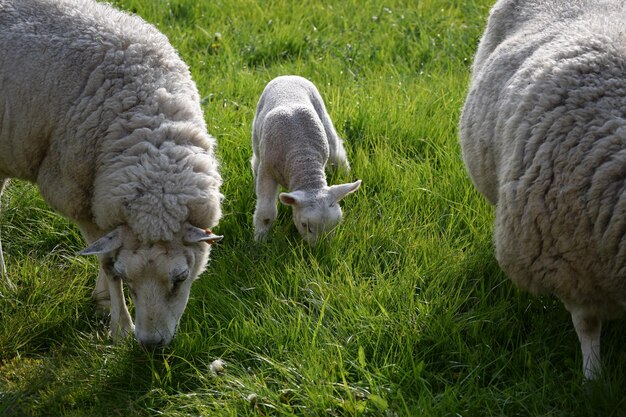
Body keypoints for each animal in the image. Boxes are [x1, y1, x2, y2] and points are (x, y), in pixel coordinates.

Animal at [0, 0, 223, 344]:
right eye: (125, 277)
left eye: (181, 277)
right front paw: (120, 325)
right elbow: (105, 259)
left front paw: (103, 301)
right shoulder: (73, 192)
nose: (151, 345)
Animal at [246, 76, 358, 242]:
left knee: (336, 151)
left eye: (335, 225)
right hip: (257, 135)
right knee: (256, 159)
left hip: (324, 118)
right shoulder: (267, 171)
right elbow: (266, 213)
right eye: (305, 225)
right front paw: (260, 240)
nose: (319, 248)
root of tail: (288, 76)